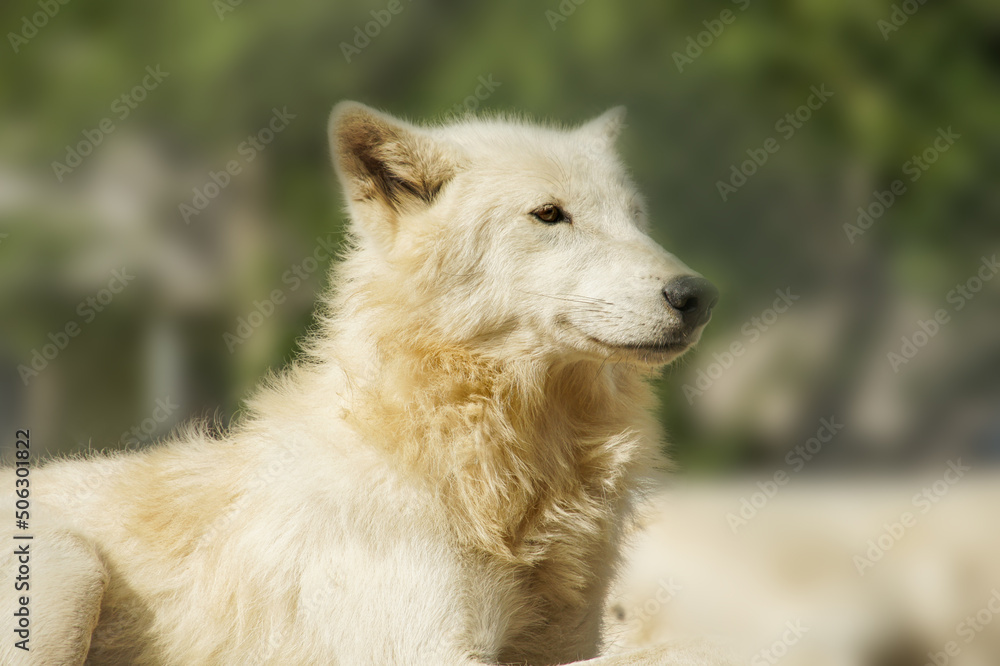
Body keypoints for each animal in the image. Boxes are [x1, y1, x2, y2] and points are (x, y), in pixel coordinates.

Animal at [2, 102, 726, 665]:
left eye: (637, 217)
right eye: (550, 215)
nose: (696, 294)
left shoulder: (565, 638)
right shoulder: (425, 648)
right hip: (69, 571)